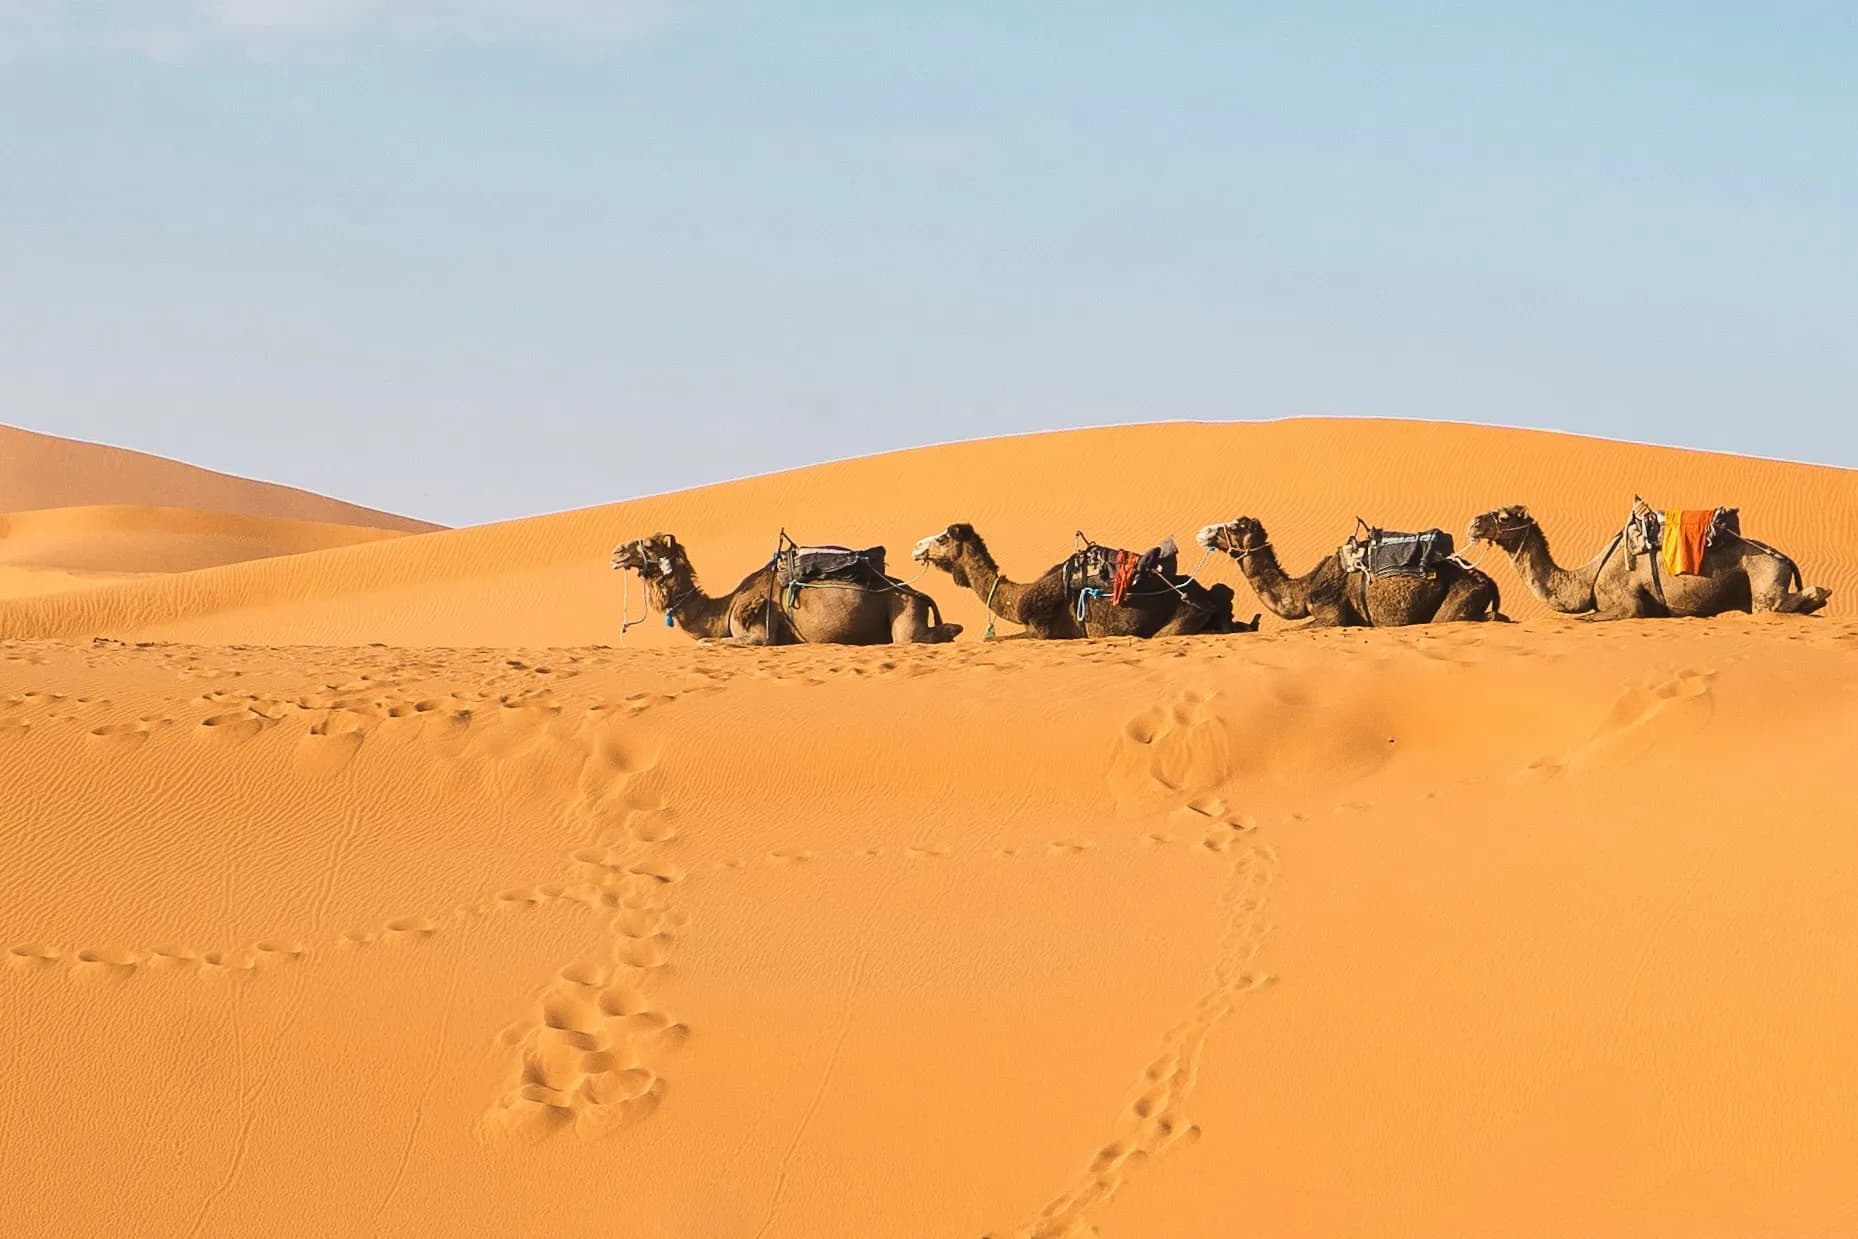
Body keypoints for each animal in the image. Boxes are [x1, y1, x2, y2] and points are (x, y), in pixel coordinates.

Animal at [611, 534, 962, 645]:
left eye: (648, 544)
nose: (616, 552)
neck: (725, 606)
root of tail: (919, 594)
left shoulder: (758, 633)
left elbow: (707, 643)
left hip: (903, 611)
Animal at [1195, 516, 1506, 626]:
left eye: (1236, 525)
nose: (1203, 532)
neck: (1305, 589)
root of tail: (1488, 581)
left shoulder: (1332, 616)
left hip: (1455, 603)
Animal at [1465, 505, 1830, 619]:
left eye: (1503, 515)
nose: (1474, 523)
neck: (1586, 577)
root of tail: (1784, 558)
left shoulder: (1628, 605)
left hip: (1766, 578)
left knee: (1779, 604)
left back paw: (1820, 593)